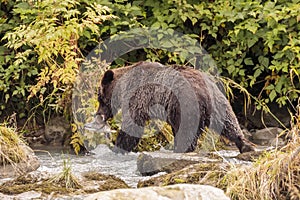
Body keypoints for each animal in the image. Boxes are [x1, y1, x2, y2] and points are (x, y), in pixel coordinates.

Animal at [88, 61, 253, 154]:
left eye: (100, 98)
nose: (98, 114)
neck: (122, 87)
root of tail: (204, 92)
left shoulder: (137, 97)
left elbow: (132, 124)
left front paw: (118, 147)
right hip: (218, 103)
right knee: (229, 123)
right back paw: (245, 145)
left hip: (185, 104)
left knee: (186, 131)